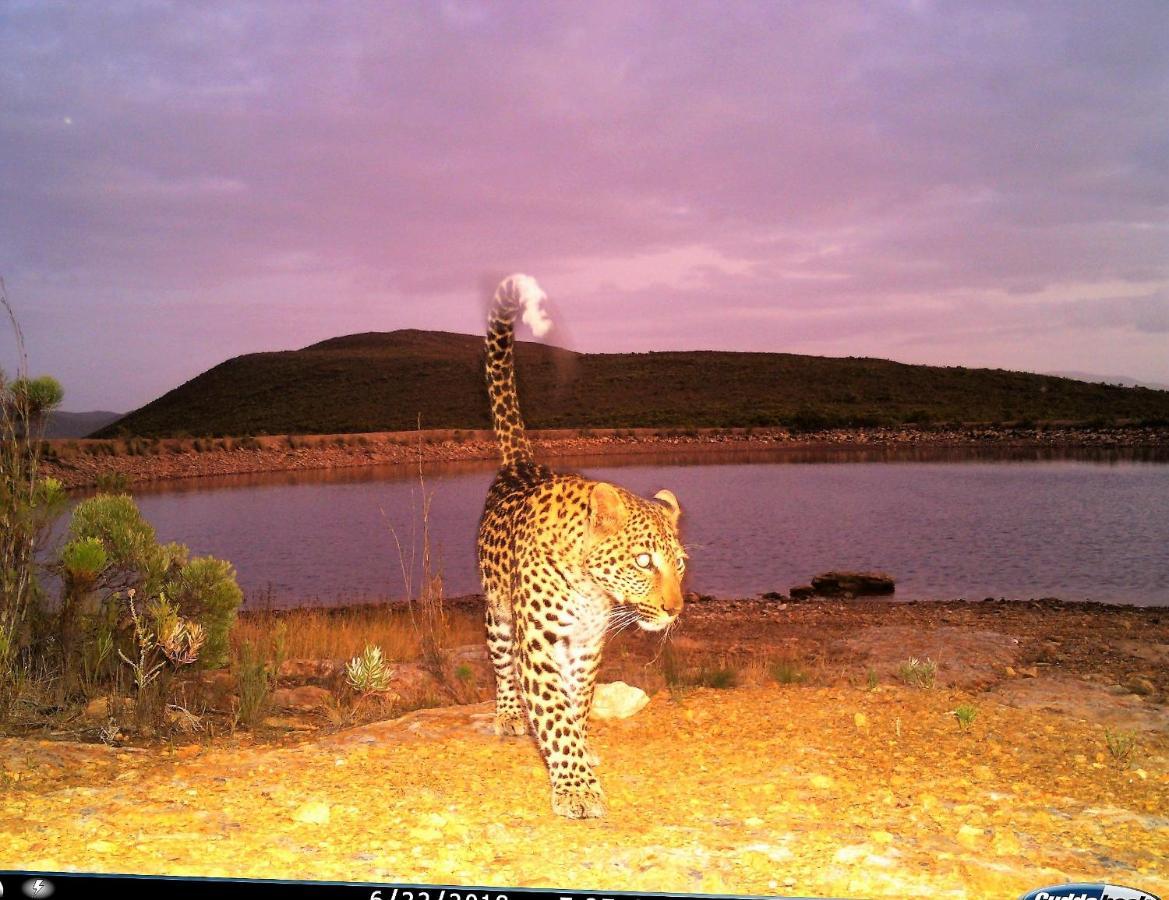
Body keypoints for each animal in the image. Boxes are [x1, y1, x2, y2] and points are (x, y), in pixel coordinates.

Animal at [479, 270, 687, 818]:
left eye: (680, 564)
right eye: (643, 561)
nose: (675, 610)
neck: (591, 590)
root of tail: (521, 464)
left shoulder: (587, 642)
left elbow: (578, 699)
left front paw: (580, 750)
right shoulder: (540, 643)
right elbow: (552, 709)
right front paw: (574, 786)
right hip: (497, 612)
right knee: (501, 662)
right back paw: (509, 714)